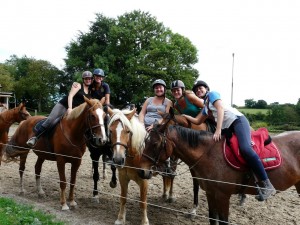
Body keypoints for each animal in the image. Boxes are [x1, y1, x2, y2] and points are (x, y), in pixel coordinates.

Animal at [139, 125, 300, 225]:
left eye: (154, 144)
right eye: (145, 141)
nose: (142, 171)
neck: (209, 154)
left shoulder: (223, 196)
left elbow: (223, 221)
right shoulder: (211, 193)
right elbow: (212, 219)